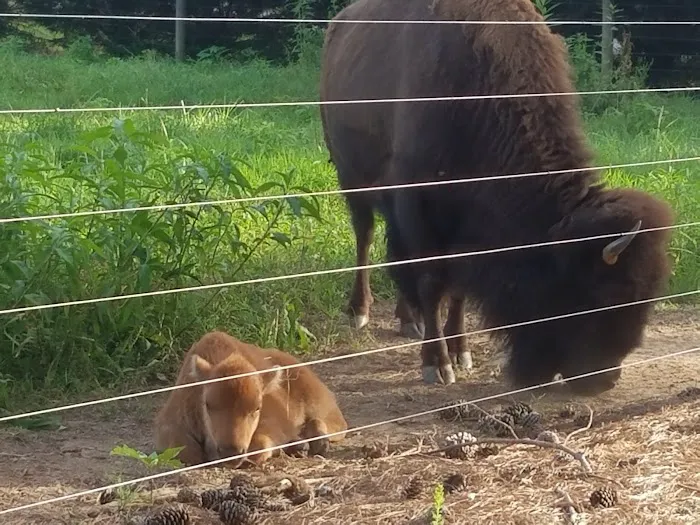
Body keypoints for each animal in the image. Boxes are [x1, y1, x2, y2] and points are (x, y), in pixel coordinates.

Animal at [319, 0, 674, 395]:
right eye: (601, 294)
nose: (604, 379)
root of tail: (339, 25)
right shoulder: (422, 211)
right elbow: (431, 281)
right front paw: (437, 365)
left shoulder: (466, 229)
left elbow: (456, 288)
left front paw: (461, 351)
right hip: (352, 178)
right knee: (365, 236)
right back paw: (360, 311)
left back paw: (408, 319)